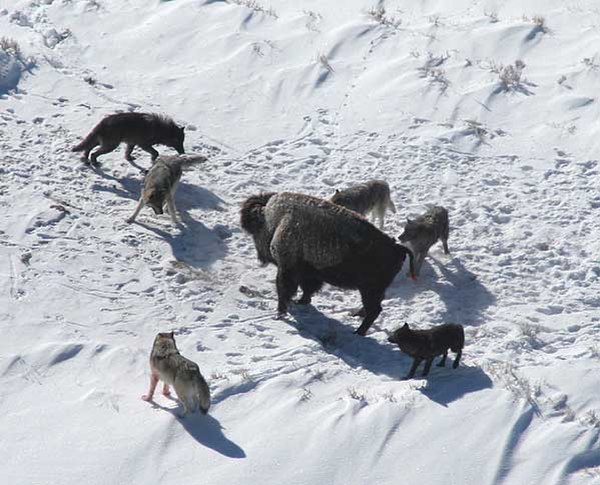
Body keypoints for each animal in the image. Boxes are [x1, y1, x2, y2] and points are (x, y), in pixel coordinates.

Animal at [238, 191, 412, 334]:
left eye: (255, 230)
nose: (260, 258)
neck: (275, 220)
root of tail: (397, 248)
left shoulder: (287, 270)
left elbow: (284, 290)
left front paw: (280, 313)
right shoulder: (310, 273)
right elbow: (307, 290)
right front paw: (301, 302)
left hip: (369, 290)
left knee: (374, 310)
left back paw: (358, 332)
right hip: (372, 290)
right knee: (373, 308)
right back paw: (356, 315)